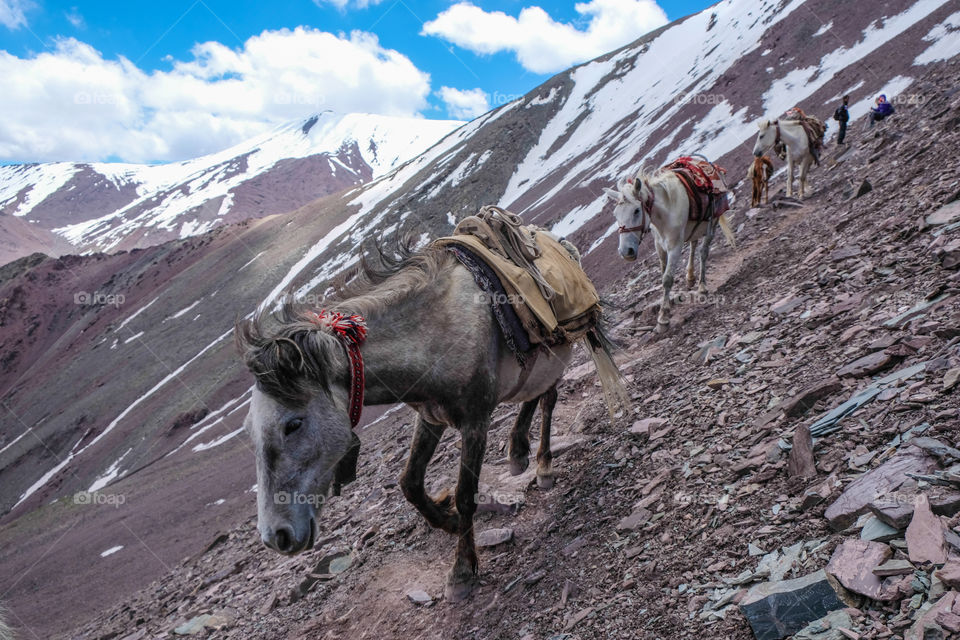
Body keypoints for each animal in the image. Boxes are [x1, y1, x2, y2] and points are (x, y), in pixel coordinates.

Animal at [235, 238, 625, 601]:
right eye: (250, 435)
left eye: (293, 424)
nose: (276, 537)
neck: (433, 336)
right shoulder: (430, 418)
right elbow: (409, 482)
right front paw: (447, 520)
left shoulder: (475, 422)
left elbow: (466, 494)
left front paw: (462, 572)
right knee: (533, 397)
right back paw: (518, 452)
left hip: (557, 353)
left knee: (548, 401)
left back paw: (541, 465)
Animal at [605, 162, 735, 333]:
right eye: (615, 214)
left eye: (636, 210)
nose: (626, 252)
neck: (663, 214)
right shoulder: (659, 246)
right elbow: (663, 275)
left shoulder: (675, 247)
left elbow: (667, 279)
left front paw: (663, 318)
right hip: (694, 228)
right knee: (693, 244)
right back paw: (690, 277)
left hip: (712, 224)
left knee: (703, 252)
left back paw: (702, 287)